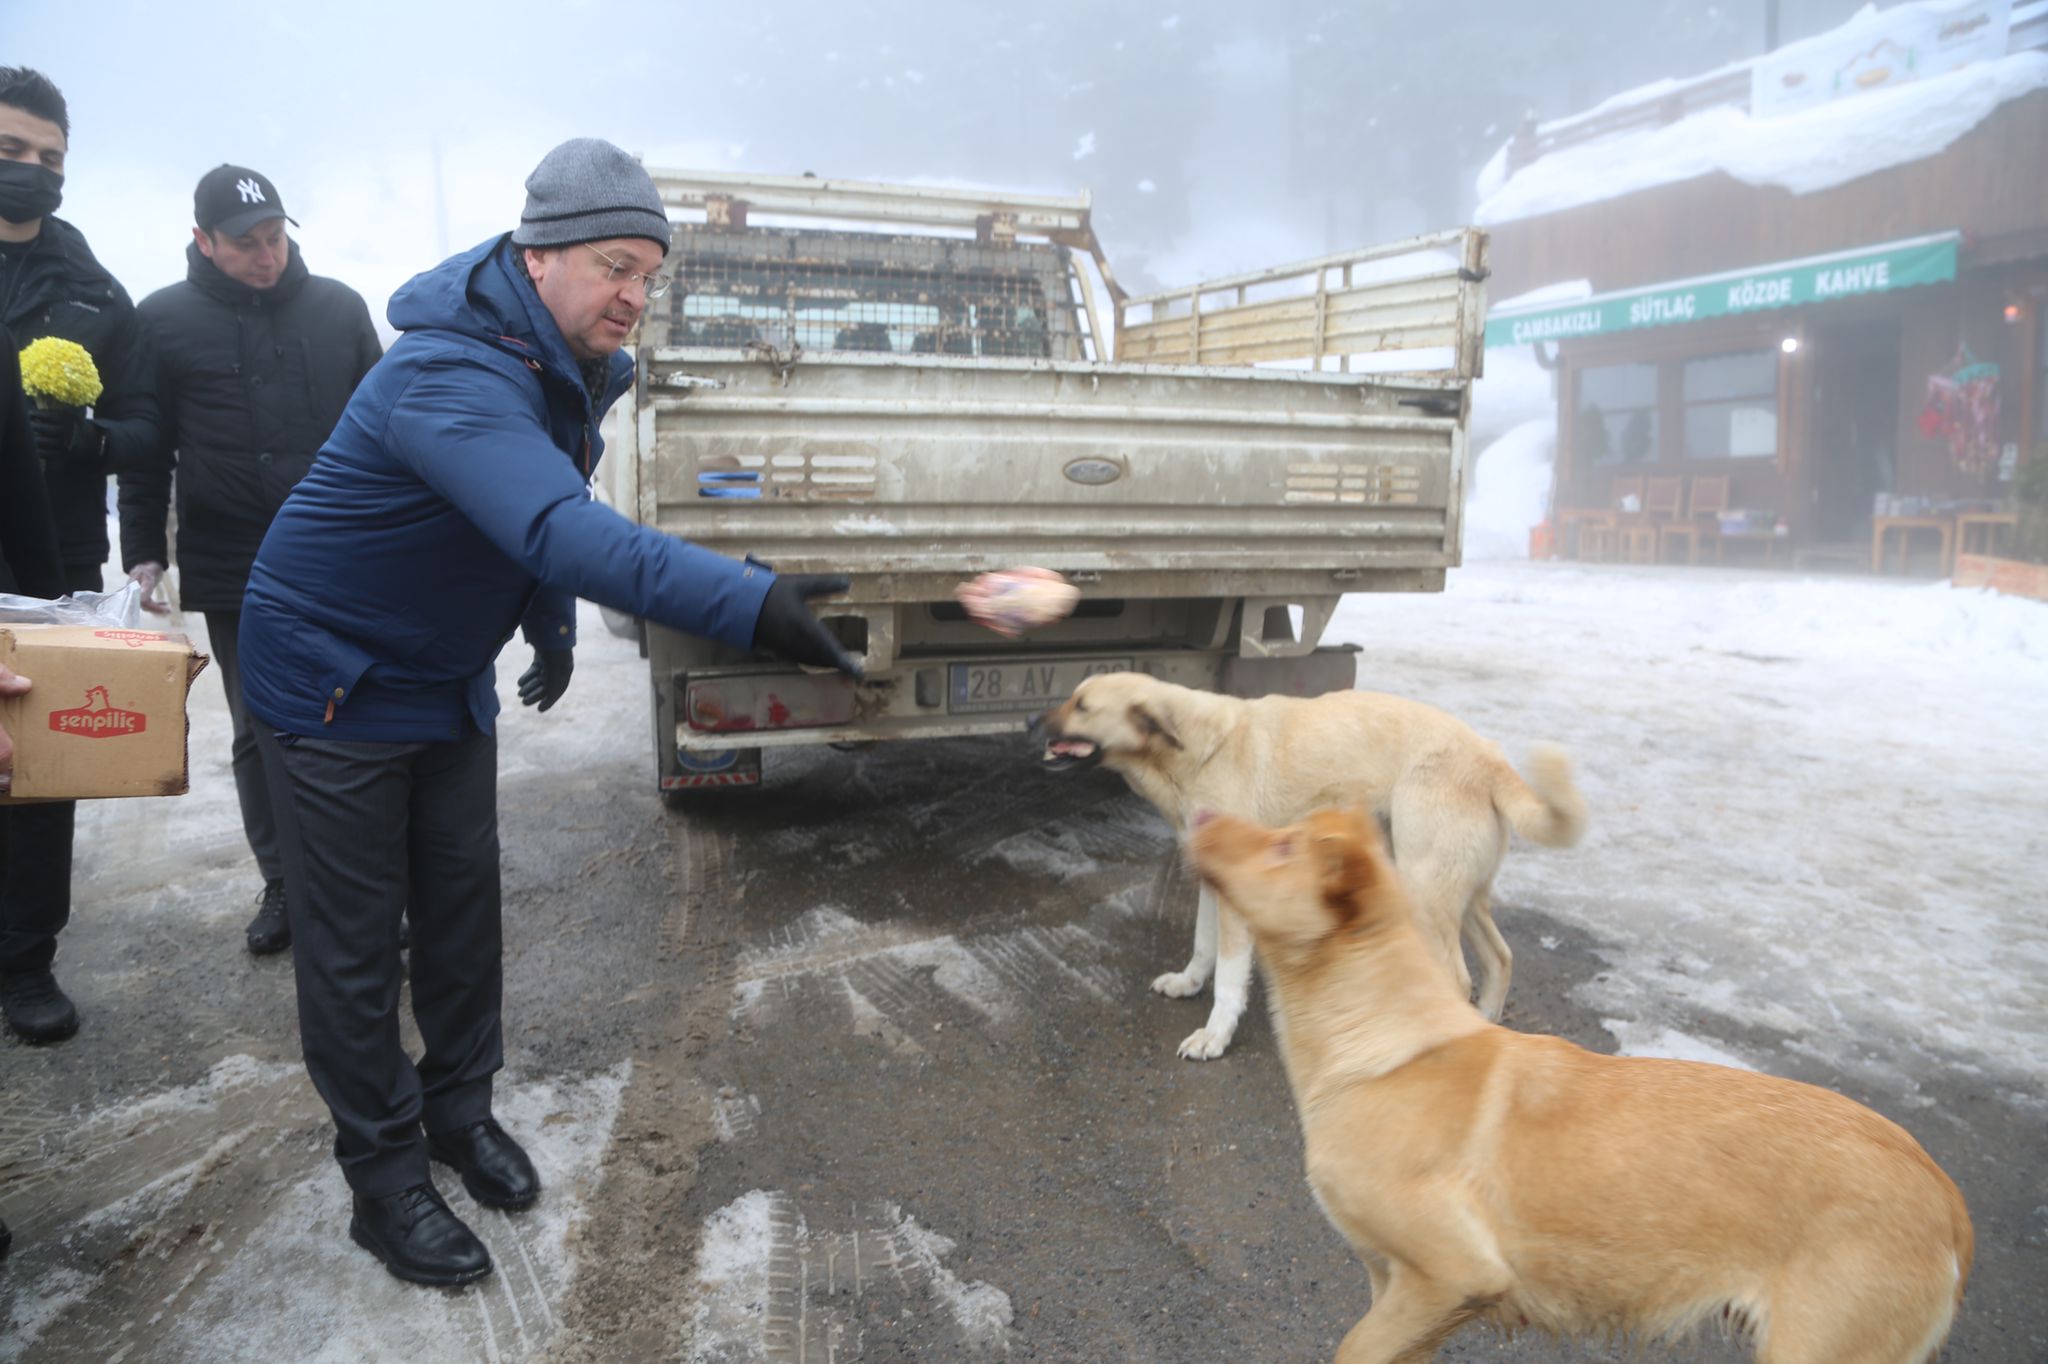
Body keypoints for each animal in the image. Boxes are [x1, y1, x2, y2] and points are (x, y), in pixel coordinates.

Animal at [1040, 675, 1581, 1056]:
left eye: (1082, 706)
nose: (1030, 725)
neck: (1198, 749)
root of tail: (1489, 758)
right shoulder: (1213, 882)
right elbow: (1202, 946)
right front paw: (1188, 983)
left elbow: (1230, 979)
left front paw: (1215, 1037)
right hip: (1455, 893)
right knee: (1500, 958)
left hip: (1424, 891)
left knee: (1459, 979)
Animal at [1196, 802, 1974, 1359]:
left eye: (1283, 848)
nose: (1200, 815)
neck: (1384, 1041)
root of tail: (1945, 1196)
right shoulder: (1406, 1293)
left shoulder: (1452, 1275)